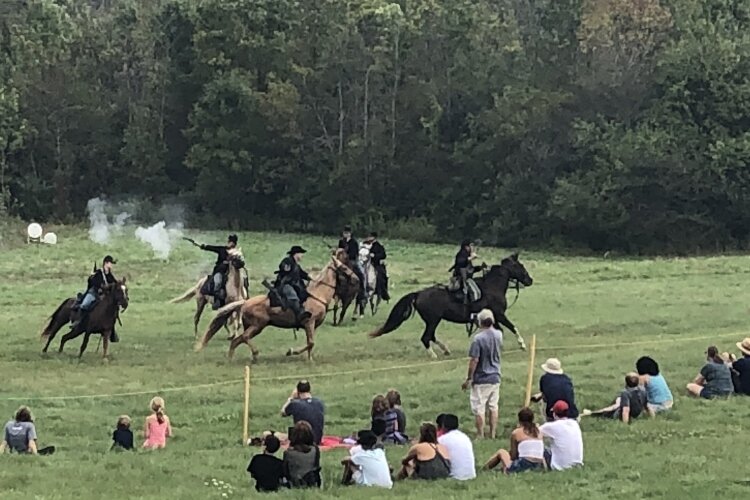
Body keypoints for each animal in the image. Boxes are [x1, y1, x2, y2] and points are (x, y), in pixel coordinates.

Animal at [195, 256, 356, 362]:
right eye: (343, 267)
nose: (355, 278)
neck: (318, 295)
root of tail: (245, 302)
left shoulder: (311, 326)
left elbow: (310, 343)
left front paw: (309, 359)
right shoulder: (309, 323)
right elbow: (310, 343)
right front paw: (291, 351)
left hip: (253, 326)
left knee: (236, 340)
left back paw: (232, 358)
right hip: (257, 326)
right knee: (243, 338)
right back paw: (254, 354)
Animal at [370, 256, 536, 358]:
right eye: (520, 266)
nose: (530, 280)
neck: (492, 287)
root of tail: (419, 294)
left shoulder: (493, 318)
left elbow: (499, 330)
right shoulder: (500, 314)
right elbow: (512, 327)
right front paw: (522, 345)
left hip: (433, 321)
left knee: (431, 336)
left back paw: (446, 350)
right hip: (433, 320)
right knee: (426, 337)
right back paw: (434, 355)